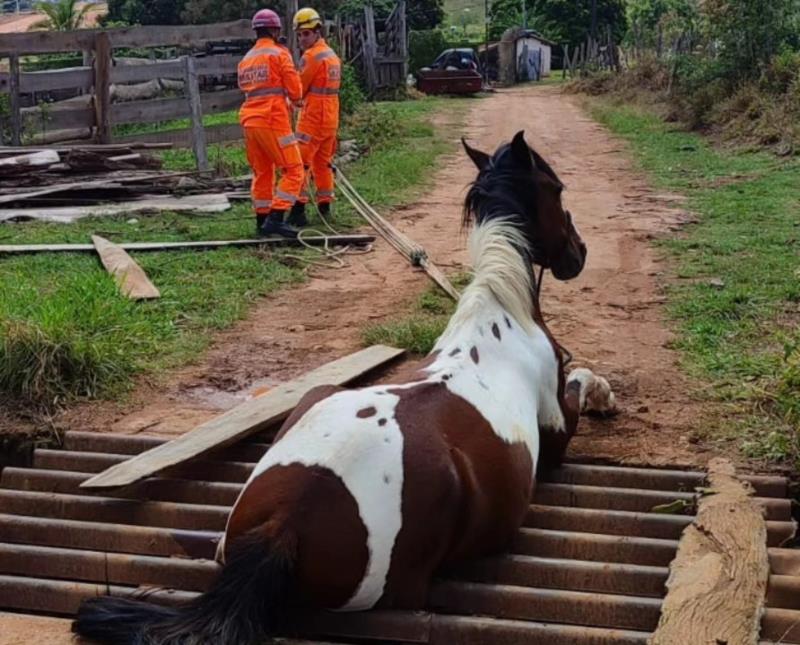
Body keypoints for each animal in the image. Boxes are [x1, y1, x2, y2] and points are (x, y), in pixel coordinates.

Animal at [73, 131, 611, 645]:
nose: (580, 254)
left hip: (316, 396)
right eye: (556, 188)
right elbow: (579, 379)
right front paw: (603, 391)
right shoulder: (556, 431)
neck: (499, 315)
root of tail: (284, 522)